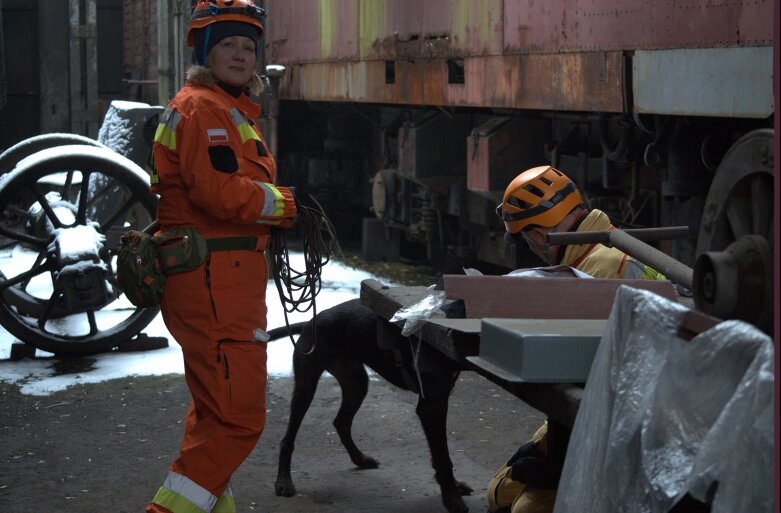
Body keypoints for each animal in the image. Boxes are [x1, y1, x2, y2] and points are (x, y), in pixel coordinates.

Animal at [272, 298, 472, 510]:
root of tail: (310, 322)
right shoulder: (431, 406)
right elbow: (443, 457)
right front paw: (451, 497)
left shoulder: (441, 398)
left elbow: (440, 454)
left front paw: (454, 486)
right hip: (306, 387)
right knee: (288, 439)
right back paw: (283, 481)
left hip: (356, 383)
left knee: (341, 422)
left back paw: (359, 459)